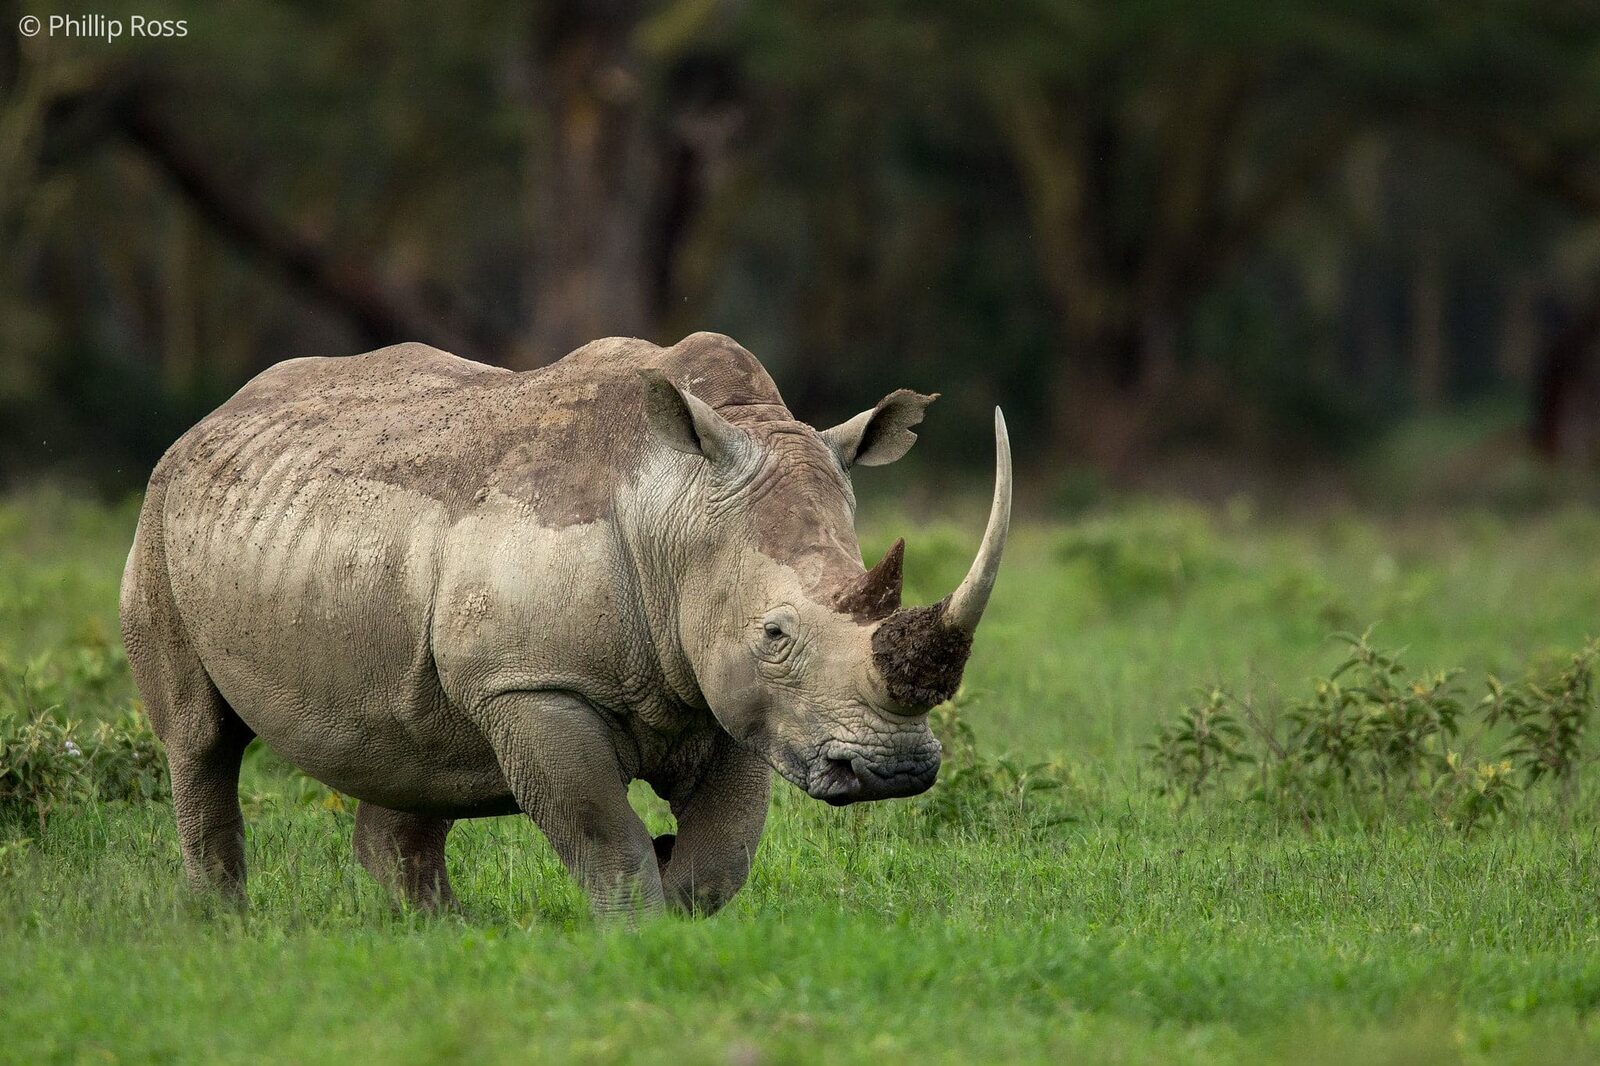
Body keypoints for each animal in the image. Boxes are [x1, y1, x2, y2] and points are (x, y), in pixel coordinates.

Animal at [120, 332, 1011, 918]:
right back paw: (224, 928)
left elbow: (724, 852)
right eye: (776, 635)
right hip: (161, 513)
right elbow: (602, 833)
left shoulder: (732, 693)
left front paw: (678, 894)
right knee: (199, 741)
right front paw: (639, 929)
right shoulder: (531, 683)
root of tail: (214, 418)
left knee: (415, 747)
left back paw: (440, 936)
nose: (894, 772)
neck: (670, 512)